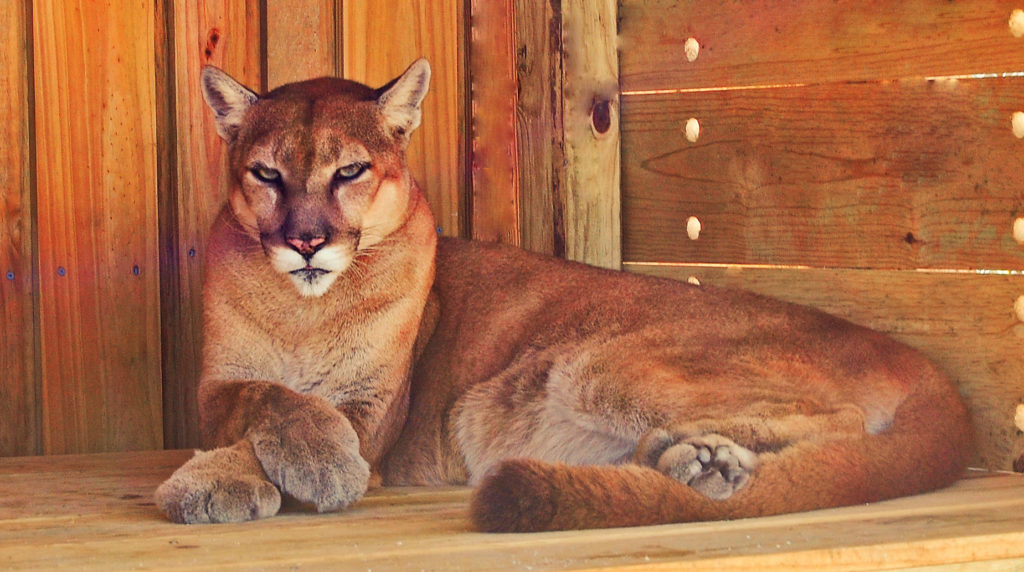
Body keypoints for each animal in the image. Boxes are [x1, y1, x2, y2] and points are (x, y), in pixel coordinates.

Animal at [153, 59, 974, 532]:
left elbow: (297, 412)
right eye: (267, 175)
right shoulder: (212, 386)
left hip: (601, 364)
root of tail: (916, 362)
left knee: (841, 424)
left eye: (349, 172)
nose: (305, 242)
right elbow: (265, 396)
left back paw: (706, 459)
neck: (305, 311)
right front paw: (223, 475)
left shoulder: (375, 409)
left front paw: (286, 470)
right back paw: (695, 463)